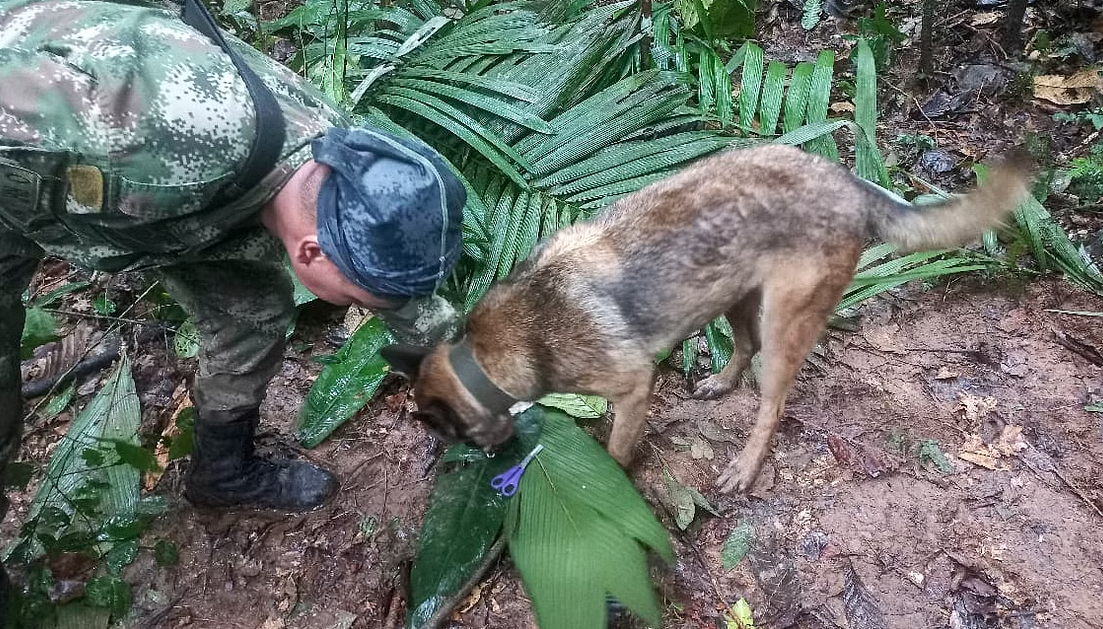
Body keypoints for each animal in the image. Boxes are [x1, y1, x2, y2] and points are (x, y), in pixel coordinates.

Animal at [381, 144, 1032, 492]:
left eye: (450, 435)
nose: (491, 461)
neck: (486, 353)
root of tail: (848, 182)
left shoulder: (633, 387)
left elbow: (617, 449)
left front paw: (612, 480)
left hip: (783, 322)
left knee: (772, 403)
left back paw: (745, 466)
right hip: (733, 295)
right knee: (742, 348)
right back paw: (720, 383)